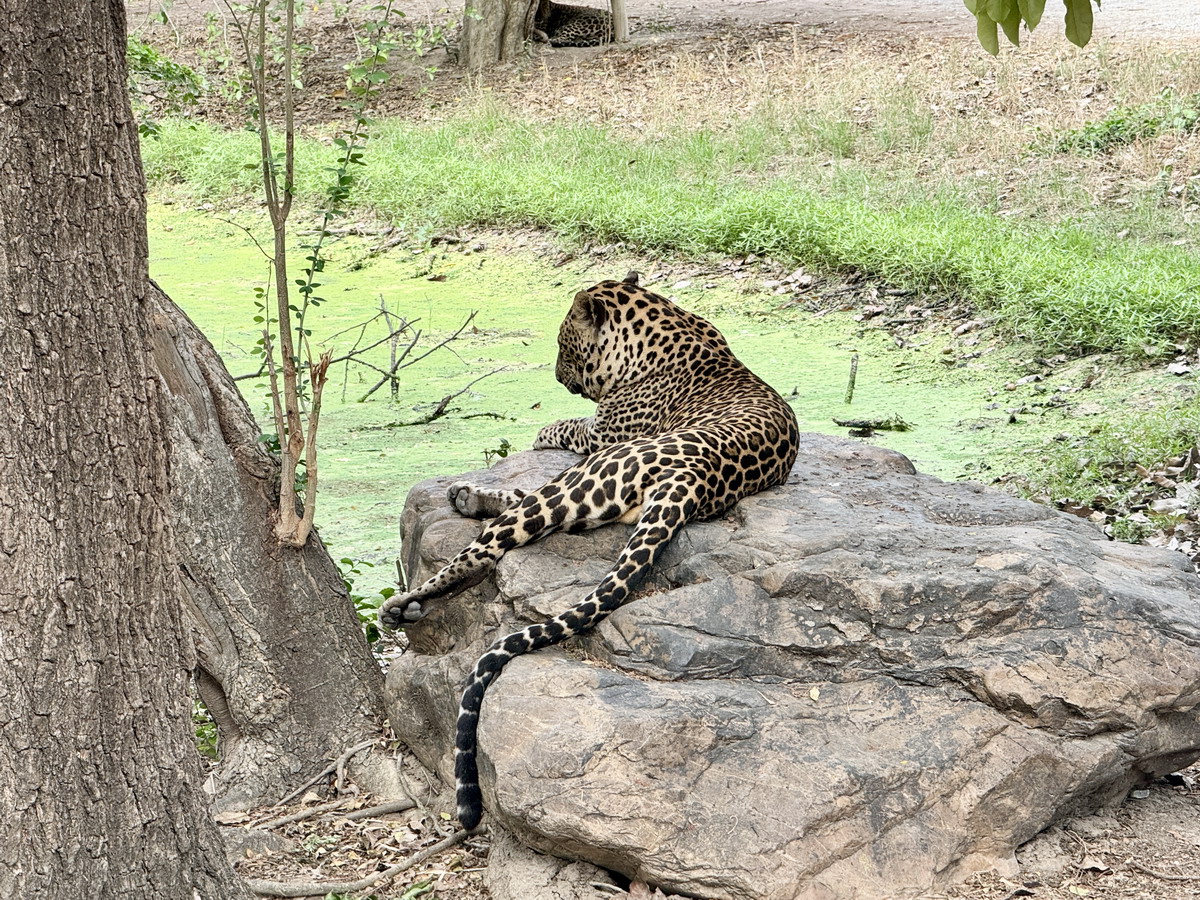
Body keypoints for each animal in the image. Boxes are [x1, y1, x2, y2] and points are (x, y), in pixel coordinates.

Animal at [379, 273, 801, 830]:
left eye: (563, 345)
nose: (558, 376)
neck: (663, 325)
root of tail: (696, 476)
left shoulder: (602, 434)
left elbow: (570, 425)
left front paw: (543, 427)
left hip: (588, 474)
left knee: (486, 547)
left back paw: (406, 601)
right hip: (592, 496)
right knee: (519, 513)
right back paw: (467, 499)